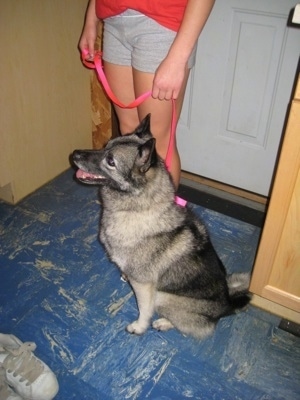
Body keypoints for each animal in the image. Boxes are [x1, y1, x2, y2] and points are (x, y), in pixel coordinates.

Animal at [72, 114, 251, 340]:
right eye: (106, 146)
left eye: (111, 161)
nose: (74, 154)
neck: (138, 210)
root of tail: (227, 305)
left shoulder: (144, 286)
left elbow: (144, 310)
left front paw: (139, 327)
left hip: (163, 297)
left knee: (198, 327)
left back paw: (164, 323)